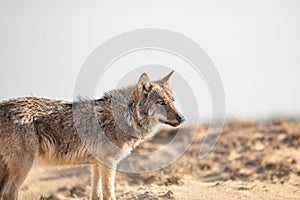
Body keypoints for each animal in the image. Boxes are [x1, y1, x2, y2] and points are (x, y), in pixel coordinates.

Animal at [0, 71, 185, 199]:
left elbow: (96, 195)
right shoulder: (109, 163)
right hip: (24, 166)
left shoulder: (96, 164)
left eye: (172, 101)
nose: (182, 118)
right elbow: (109, 195)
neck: (126, 117)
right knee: (10, 193)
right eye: (161, 103)